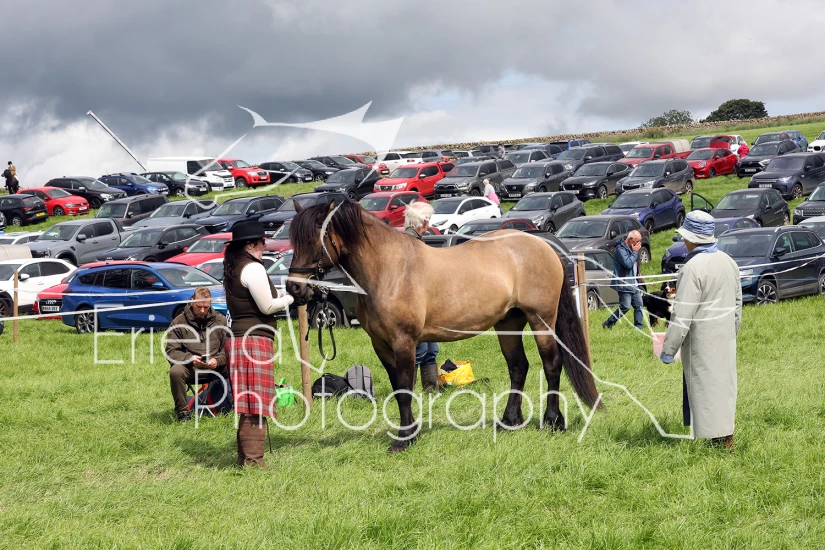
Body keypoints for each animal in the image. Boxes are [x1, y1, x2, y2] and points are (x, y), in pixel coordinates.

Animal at [287, 201, 602, 452]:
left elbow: (405, 388)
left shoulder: (404, 341)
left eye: (314, 239)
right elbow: (398, 388)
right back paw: (509, 421)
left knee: (551, 365)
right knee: (518, 367)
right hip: (508, 323)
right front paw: (410, 432)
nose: (294, 288)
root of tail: (543, 246)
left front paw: (404, 439)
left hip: (541, 320)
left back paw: (552, 421)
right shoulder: (381, 344)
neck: (389, 269)